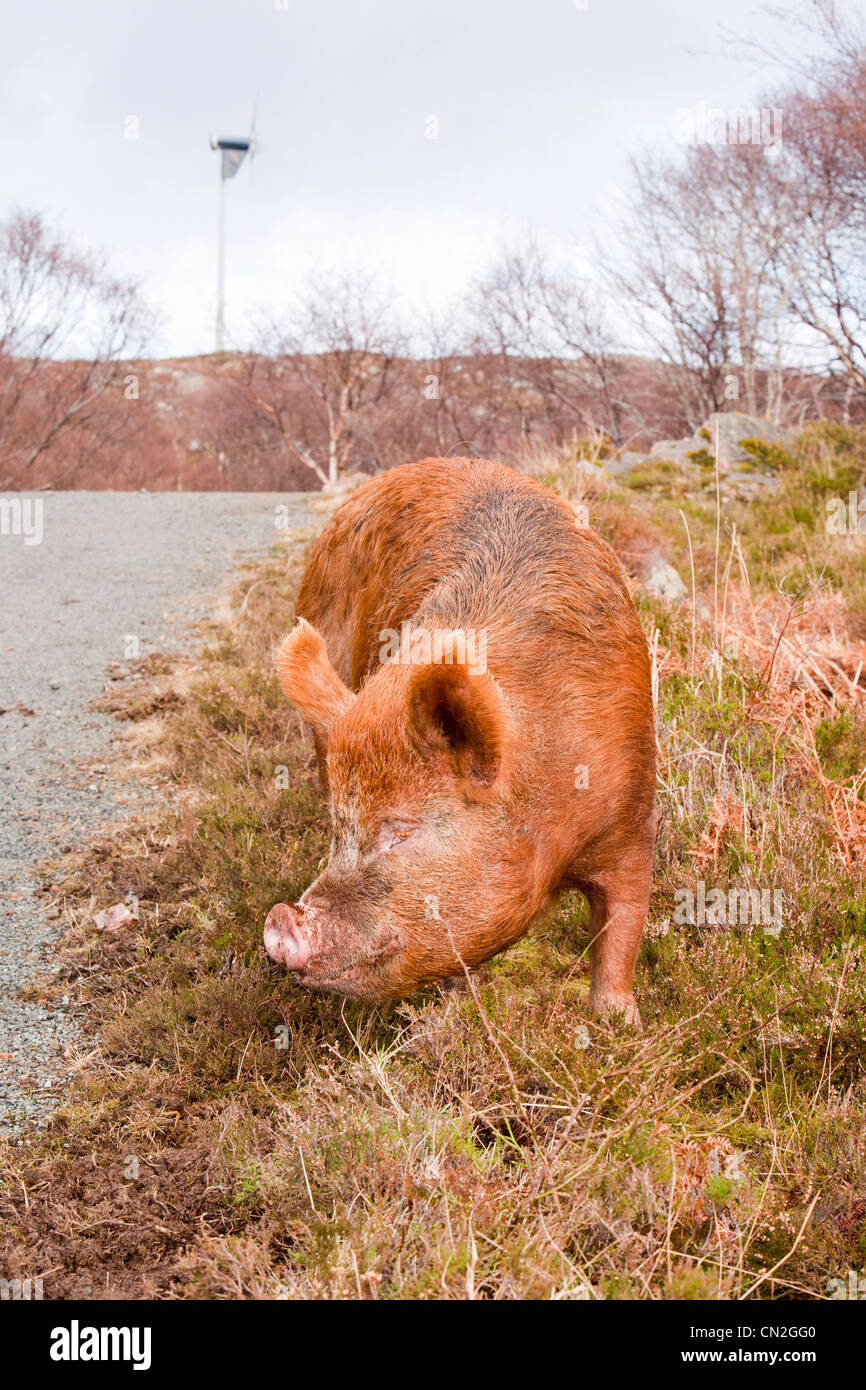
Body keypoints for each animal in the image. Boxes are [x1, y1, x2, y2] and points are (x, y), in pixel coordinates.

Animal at [264, 455, 656, 1023]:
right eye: (340, 827)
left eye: (403, 830)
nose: (279, 923)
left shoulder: (633, 819)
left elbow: (621, 927)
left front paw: (616, 1024)